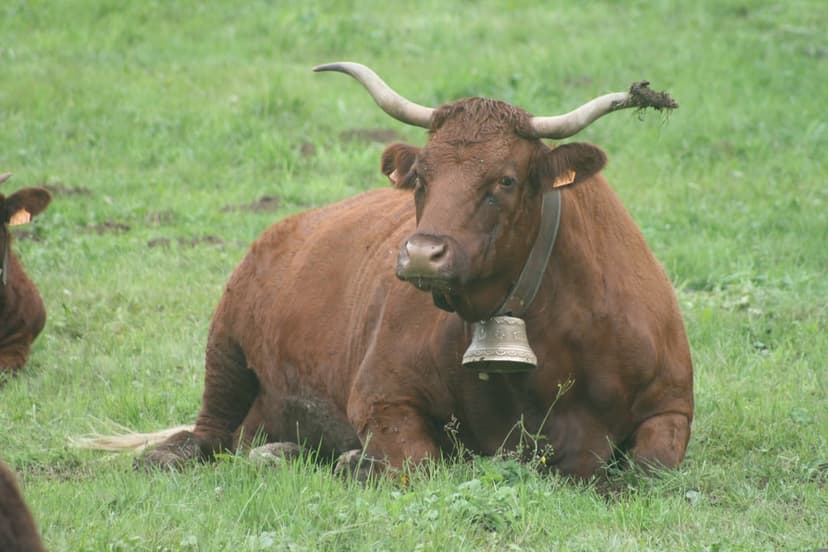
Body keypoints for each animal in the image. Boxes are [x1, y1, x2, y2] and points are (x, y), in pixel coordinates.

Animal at [92, 63, 693, 479]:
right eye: (422, 176)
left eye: (505, 180)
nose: (422, 254)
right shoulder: (382, 395)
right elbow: (420, 462)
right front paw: (354, 462)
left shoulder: (672, 407)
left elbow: (646, 468)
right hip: (225, 350)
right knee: (205, 436)